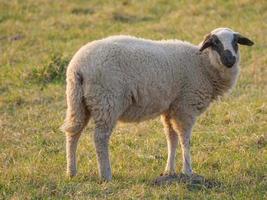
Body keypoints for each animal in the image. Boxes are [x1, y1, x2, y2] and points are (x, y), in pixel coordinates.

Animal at [61, 27, 255, 182]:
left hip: (77, 101)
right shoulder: (185, 107)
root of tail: (78, 66)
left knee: (73, 133)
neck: (203, 64)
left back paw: (71, 172)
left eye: (235, 42)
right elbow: (185, 139)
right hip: (107, 101)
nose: (230, 60)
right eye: (215, 43)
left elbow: (172, 138)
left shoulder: (171, 108)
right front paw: (188, 171)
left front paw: (169, 171)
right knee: (100, 138)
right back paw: (106, 175)